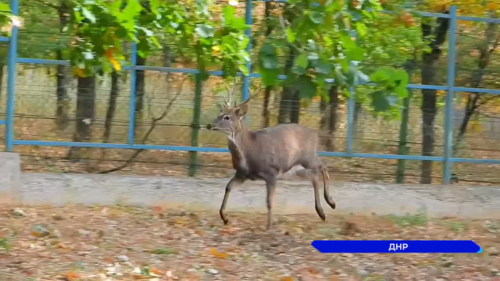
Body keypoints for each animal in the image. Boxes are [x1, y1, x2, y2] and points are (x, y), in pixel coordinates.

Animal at [207, 83, 336, 230]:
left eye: (227, 117)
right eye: (219, 114)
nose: (210, 125)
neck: (249, 149)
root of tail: (315, 134)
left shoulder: (271, 172)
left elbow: (269, 201)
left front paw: (269, 227)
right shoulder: (242, 174)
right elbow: (228, 187)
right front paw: (225, 218)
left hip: (308, 157)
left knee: (323, 165)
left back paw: (331, 202)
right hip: (296, 169)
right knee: (314, 177)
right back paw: (321, 212)